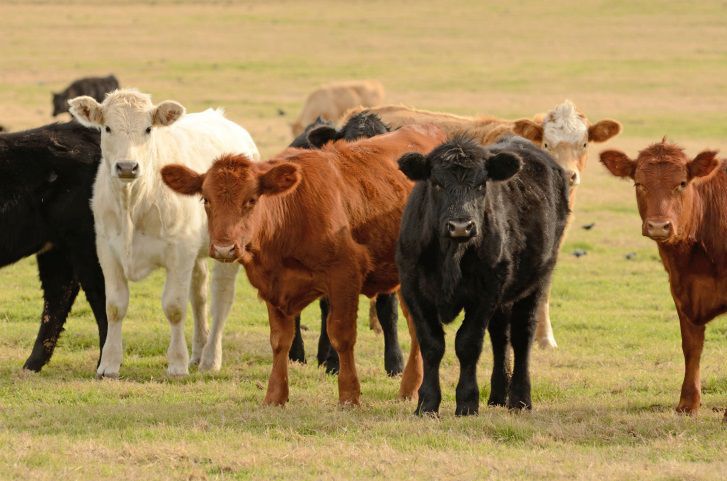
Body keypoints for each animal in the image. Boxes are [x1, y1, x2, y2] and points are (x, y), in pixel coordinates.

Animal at [0, 121, 107, 372]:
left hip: (87, 243)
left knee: (100, 295)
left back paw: (105, 366)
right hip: (57, 248)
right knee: (58, 295)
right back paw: (32, 365)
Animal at [68, 89, 259, 378]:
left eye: (148, 129)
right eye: (107, 127)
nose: (127, 167)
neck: (133, 202)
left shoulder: (179, 252)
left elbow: (175, 308)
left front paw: (177, 363)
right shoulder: (107, 249)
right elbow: (114, 307)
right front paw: (109, 364)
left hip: (228, 249)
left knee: (221, 299)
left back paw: (210, 359)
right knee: (199, 295)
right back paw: (198, 352)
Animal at [396, 135, 569, 415]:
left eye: (481, 185)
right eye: (436, 183)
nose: (460, 226)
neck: (452, 254)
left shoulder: (486, 292)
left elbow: (467, 343)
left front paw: (467, 402)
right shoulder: (413, 288)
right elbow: (432, 345)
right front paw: (427, 403)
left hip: (537, 281)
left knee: (522, 336)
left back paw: (520, 399)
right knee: (500, 337)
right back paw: (498, 394)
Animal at [600, 140, 727, 422]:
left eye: (682, 183)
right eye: (639, 183)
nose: (659, 226)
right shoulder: (681, 291)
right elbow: (691, 346)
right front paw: (688, 403)